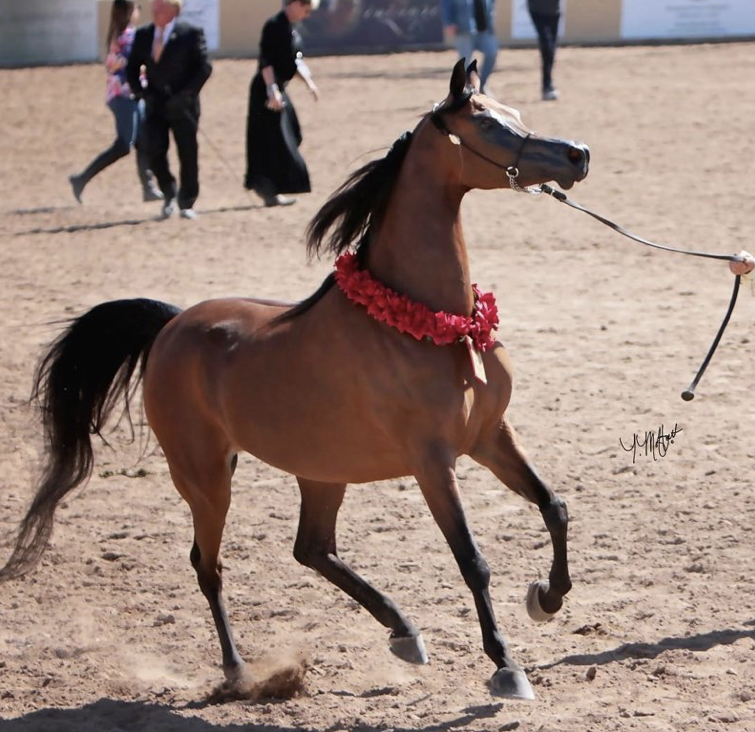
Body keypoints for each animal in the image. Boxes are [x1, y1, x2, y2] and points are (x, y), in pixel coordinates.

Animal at [0, 60, 592, 700]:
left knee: (312, 549)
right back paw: (239, 670)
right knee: (208, 566)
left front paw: (547, 598)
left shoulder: (489, 436)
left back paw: (403, 631)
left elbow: (555, 507)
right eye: (485, 123)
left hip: (321, 471)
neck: (435, 322)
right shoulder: (434, 462)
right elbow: (472, 560)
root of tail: (170, 324)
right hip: (206, 478)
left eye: (515, 113)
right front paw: (506, 664)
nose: (577, 154)